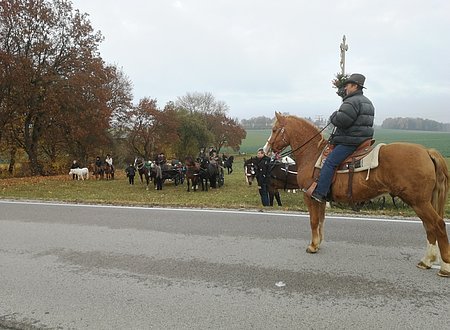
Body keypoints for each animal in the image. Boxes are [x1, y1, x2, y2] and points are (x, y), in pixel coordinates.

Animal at [266, 112, 448, 278]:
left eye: (274, 129)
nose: (266, 149)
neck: (313, 154)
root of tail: (427, 151)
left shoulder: (309, 197)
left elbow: (314, 221)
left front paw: (312, 246)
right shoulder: (321, 199)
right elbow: (321, 222)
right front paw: (318, 244)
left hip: (419, 202)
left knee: (438, 225)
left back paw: (444, 267)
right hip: (422, 202)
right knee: (429, 227)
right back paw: (427, 261)